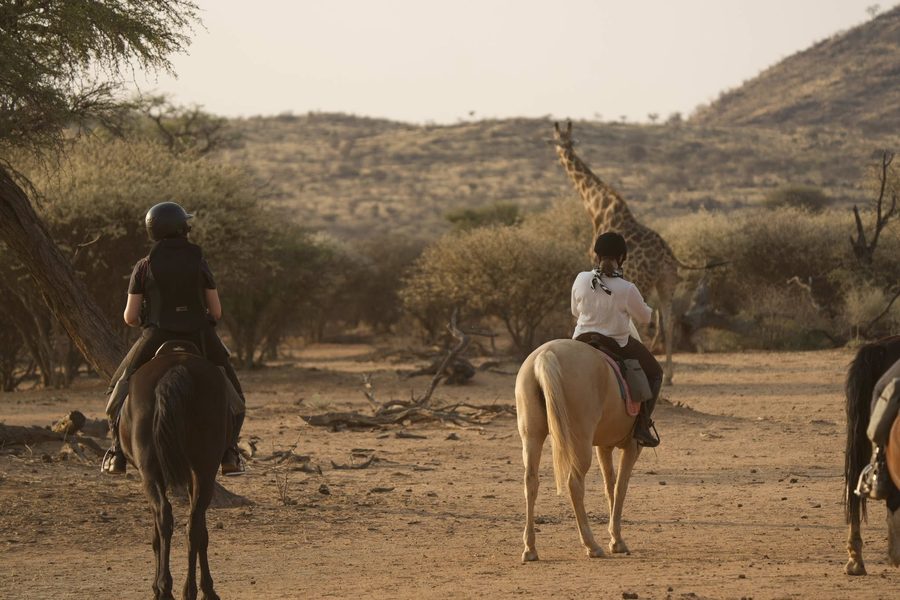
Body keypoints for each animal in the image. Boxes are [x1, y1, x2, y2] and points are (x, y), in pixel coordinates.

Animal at [552, 120, 679, 384]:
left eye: (560, 140)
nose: (562, 153)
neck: (595, 205)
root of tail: (667, 257)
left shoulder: (594, 259)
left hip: (644, 280)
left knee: (645, 323)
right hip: (667, 283)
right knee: (669, 320)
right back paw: (670, 375)